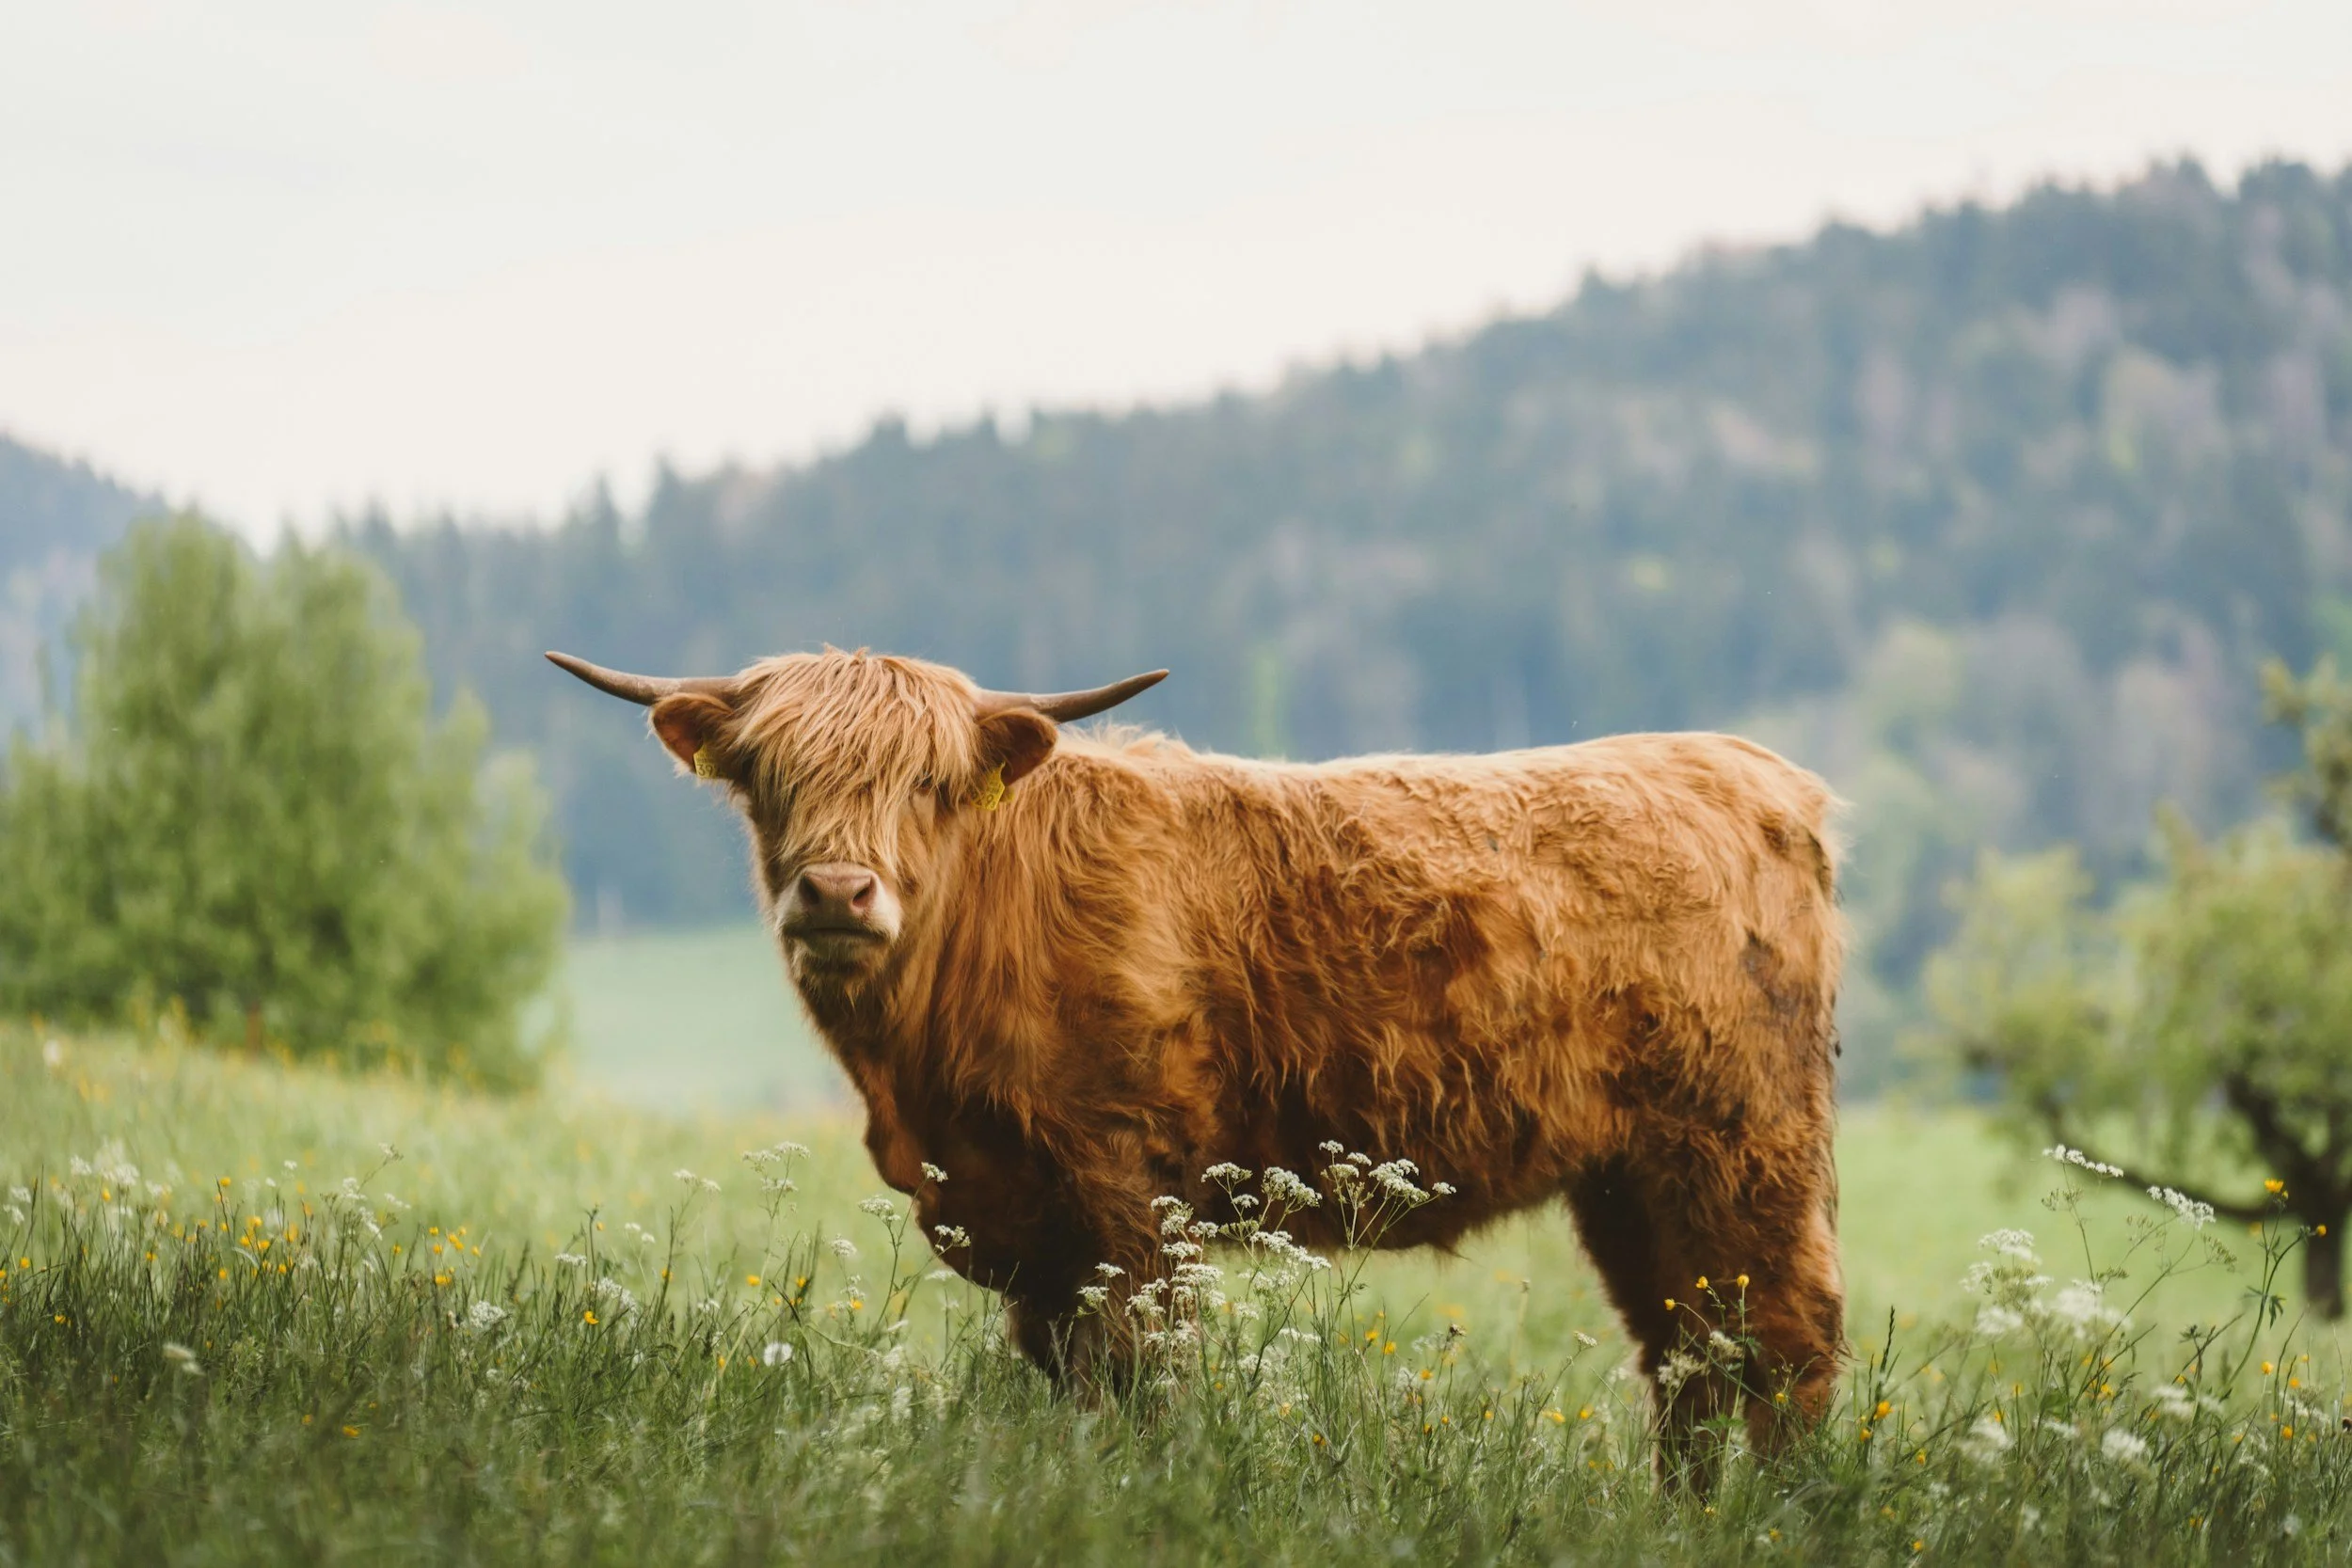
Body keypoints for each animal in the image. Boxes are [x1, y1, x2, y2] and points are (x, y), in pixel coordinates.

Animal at [549, 646, 1845, 1476]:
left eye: (926, 782)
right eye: (770, 778)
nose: (834, 891)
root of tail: (1760, 774)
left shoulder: (1129, 1195)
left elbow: (1138, 1375)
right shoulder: (1030, 1223)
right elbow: (1066, 1375)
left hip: (1741, 1146)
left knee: (1786, 1343)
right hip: (1630, 1177)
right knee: (1687, 1353)